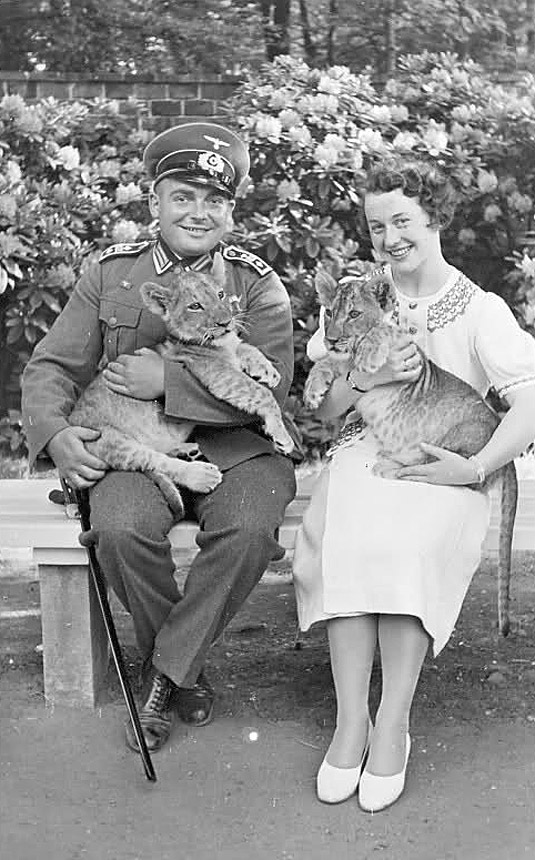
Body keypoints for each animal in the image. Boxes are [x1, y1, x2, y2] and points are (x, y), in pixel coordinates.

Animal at [69, 252, 294, 518]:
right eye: (195, 306)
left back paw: (187, 450)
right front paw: (282, 435)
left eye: (220, 294)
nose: (225, 322)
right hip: (109, 440)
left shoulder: (230, 351)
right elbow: (261, 394)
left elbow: (247, 347)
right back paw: (200, 474)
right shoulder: (218, 375)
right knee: (155, 461)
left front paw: (268, 370)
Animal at [303, 267, 518, 637]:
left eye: (354, 314)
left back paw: (389, 466)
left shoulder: (408, 353)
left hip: (459, 443)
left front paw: (370, 354)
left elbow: (381, 333)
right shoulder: (341, 363)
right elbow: (327, 363)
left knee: (445, 474)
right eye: (328, 313)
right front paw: (313, 391)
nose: (330, 338)